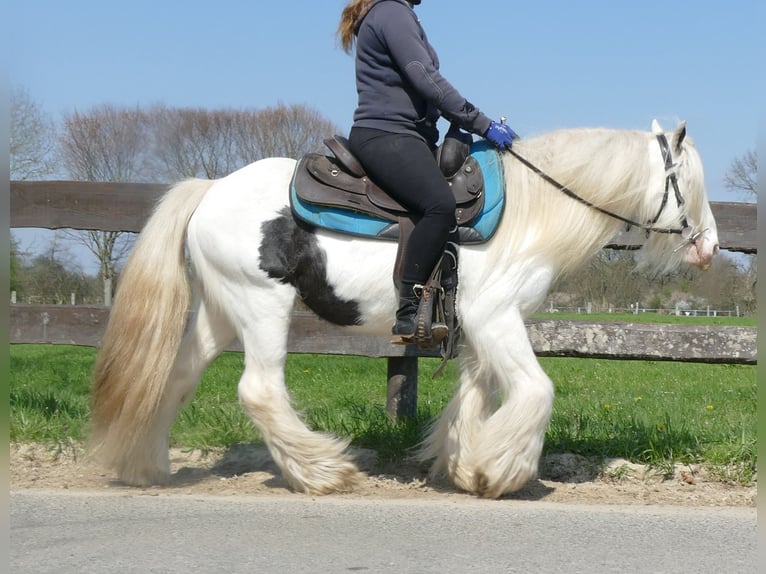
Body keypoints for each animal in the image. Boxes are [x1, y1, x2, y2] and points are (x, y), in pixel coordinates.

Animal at [88, 120, 720, 500]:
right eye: (687, 184)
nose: (710, 247)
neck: (528, 213)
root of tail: (211, 188)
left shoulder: (479, 326)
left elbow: (474, 397)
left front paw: (464, 465)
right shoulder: (495, 317)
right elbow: (537, 391)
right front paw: (502, 471)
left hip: (220, 313)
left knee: (175, 378)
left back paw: (146, 467)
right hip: (260, 306)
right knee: (259, 390)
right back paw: (322, 471)